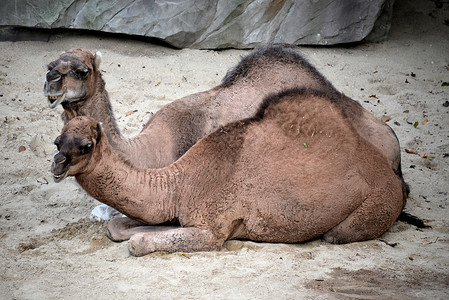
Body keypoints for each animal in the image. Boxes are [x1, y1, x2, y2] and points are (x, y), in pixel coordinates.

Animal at [50, 88, 406, 255]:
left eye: (85, 146)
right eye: (57, 140)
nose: (57, 164)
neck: (180, 182)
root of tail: (393, 174)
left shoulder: (213, 229)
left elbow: (138, 243)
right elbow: (118, 227)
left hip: (380, 202)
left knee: (337, 234)